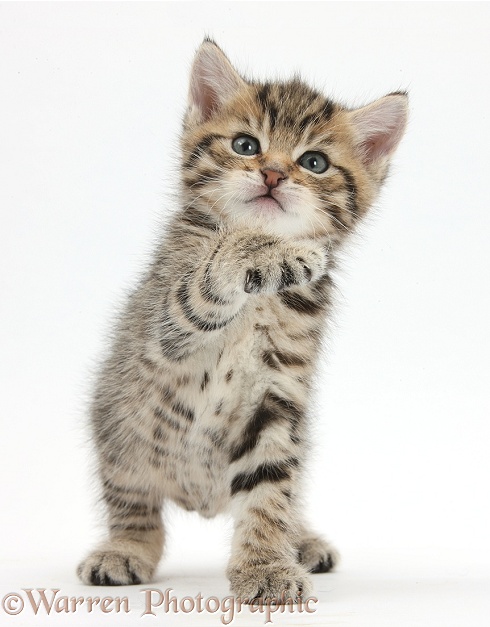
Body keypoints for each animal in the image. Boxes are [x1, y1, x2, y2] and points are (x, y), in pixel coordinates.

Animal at [76, 40, 406, 604]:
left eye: (314, 162)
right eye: (246, 145)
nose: (272, 174)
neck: (259, 302)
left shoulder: (278, 395)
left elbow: (269, 489)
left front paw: (265, 567)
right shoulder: (161, 328)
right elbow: (209, 275)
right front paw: (268, 251)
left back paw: (300, 539)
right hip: (119, 427)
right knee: (137, 508)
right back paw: (123, 549)